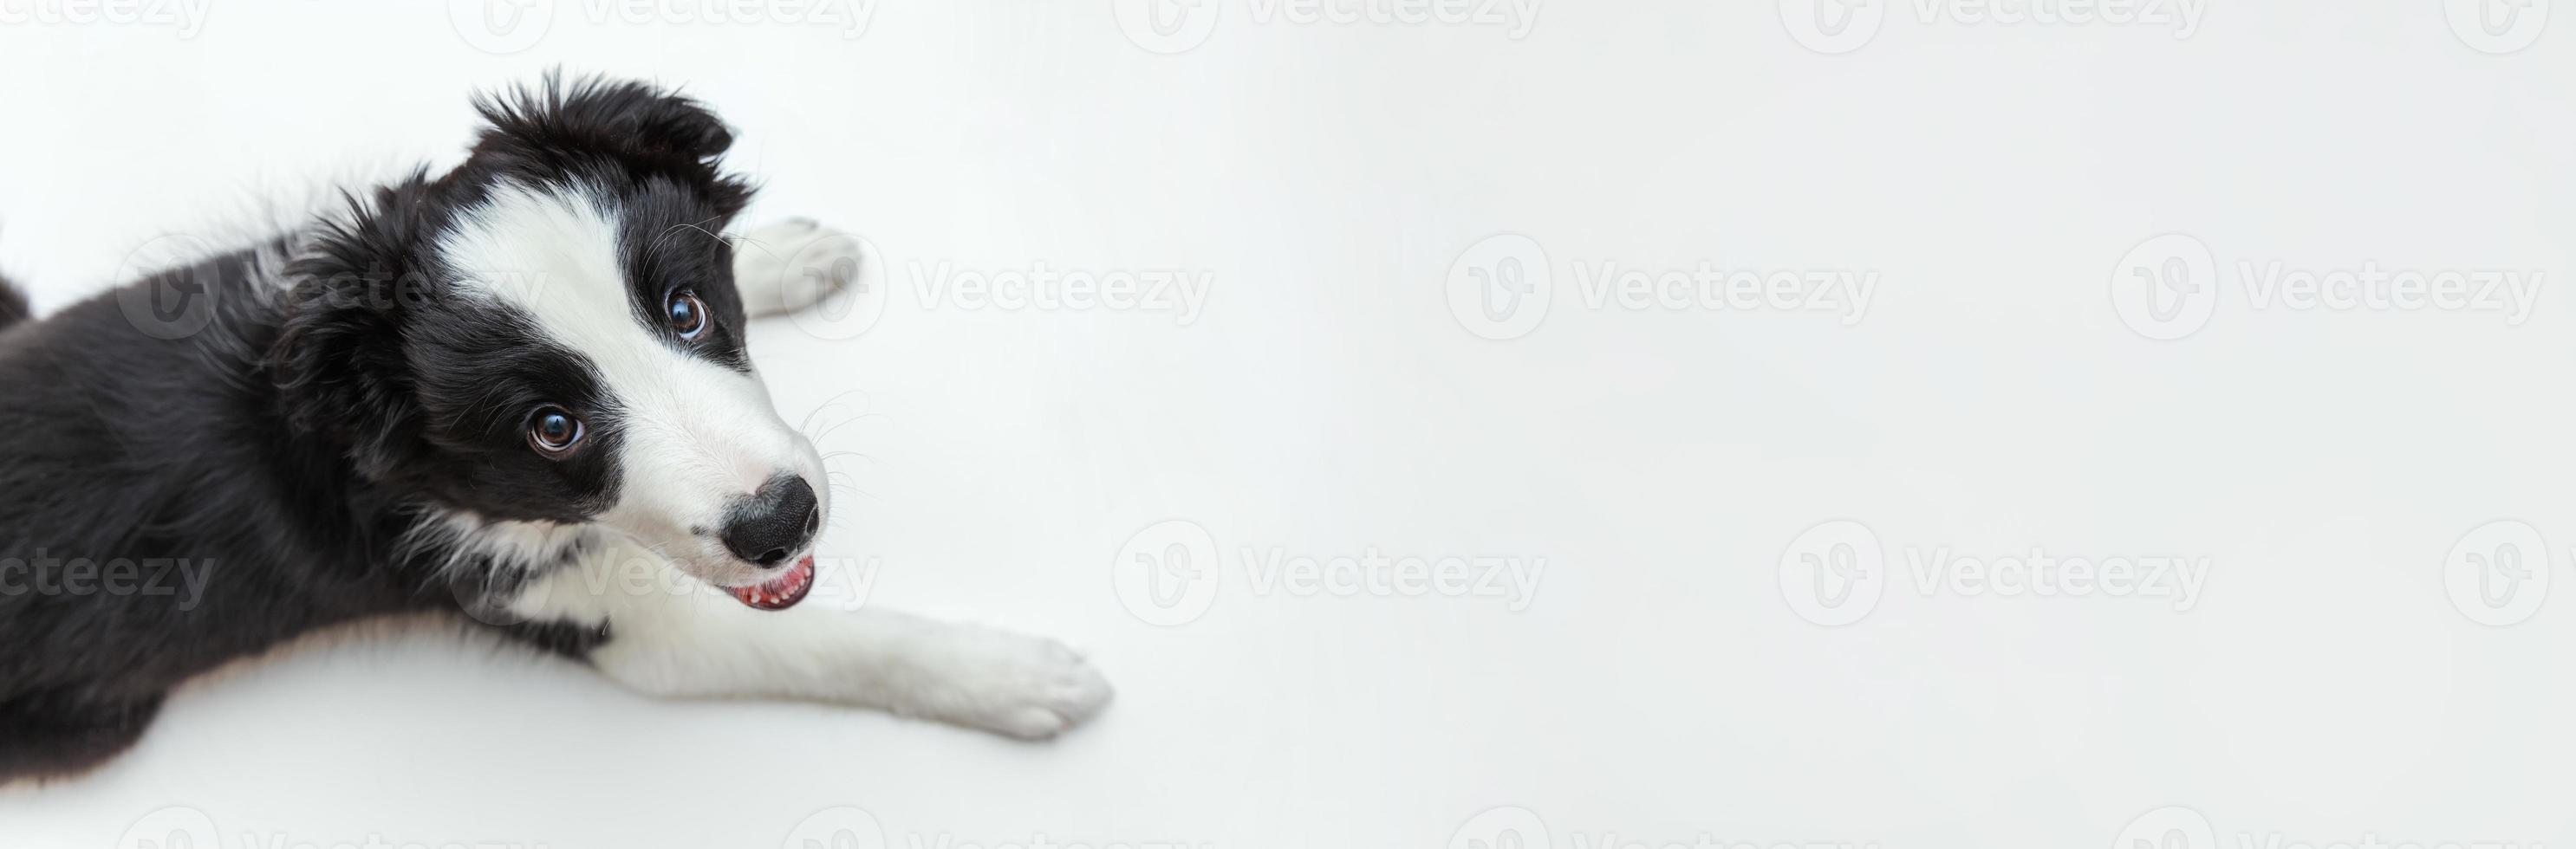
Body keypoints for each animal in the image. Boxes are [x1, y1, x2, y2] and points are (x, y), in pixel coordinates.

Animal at [0, 77, 1117, 781]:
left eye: (685, 311)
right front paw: (1012, 676)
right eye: (551, 427)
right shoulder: (604, 617)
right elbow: (829, 642)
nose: (780, 522)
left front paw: (780, 253)